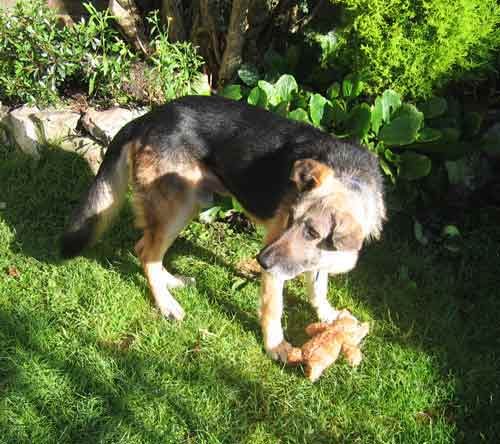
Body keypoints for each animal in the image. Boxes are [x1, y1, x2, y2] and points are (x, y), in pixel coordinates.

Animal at [60, 95, 384, 362]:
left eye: (313, 233)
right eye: (289, 218)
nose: (260, 260)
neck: (353, 181)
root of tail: (147, 118)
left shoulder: (311, 260)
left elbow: (317, 288)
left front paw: (328, 316)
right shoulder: (276, 265)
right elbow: (274, 308)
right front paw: (275, 346)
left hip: (189, 205)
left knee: (145, 248)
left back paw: (170, 282)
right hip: (179, 206)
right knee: (147, 252)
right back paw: (165, 304)